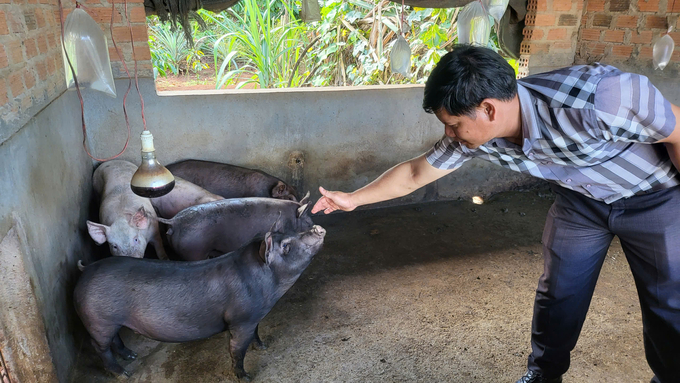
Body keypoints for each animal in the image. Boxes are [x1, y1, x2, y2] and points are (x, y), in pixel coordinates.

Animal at [74, 225, 326, 380]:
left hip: (109, 321)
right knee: (100, 347)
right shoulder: (242, 319)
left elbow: (256, 334)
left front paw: (263, 346)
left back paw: (132, 356)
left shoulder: (254, 318)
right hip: (99, 319)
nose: (316, 228)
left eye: (288, 232)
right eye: (286, 246)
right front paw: (245, 376)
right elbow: (237, 349)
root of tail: (85, 271)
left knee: (115, 340)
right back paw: (124, 374)